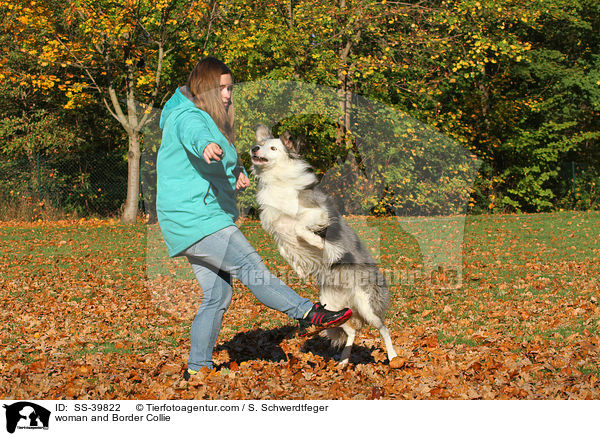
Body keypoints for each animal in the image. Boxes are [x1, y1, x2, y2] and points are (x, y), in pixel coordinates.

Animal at [250, 124, 398, 366]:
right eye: (260, 144)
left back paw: (393, 357)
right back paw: (344, 361)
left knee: (384, 329)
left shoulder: (317, 213)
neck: (278, 179)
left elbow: (301, 228)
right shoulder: (275, 225)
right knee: (351, 331)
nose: (254, 148)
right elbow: (284, 248)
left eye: (272, 148)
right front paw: (299, 269)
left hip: (367, 305)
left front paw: (320, 245)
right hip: (334, 306)